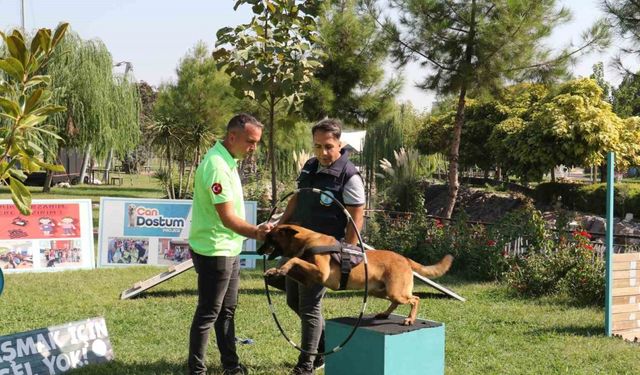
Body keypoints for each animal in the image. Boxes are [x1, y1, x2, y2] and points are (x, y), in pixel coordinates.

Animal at [258, 225, 452, 328]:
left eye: (270, 237)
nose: (258, 251)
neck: (307, 240)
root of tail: (404, 258)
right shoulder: (309, 279)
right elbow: (294, 265)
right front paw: (276, 271)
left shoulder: (321, 272)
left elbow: (295, 259)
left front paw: (281, 268)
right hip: (381, 291)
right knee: (396, 302)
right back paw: (384, 314)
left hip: (396, 291)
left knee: (415, 298)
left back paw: (410, 318)